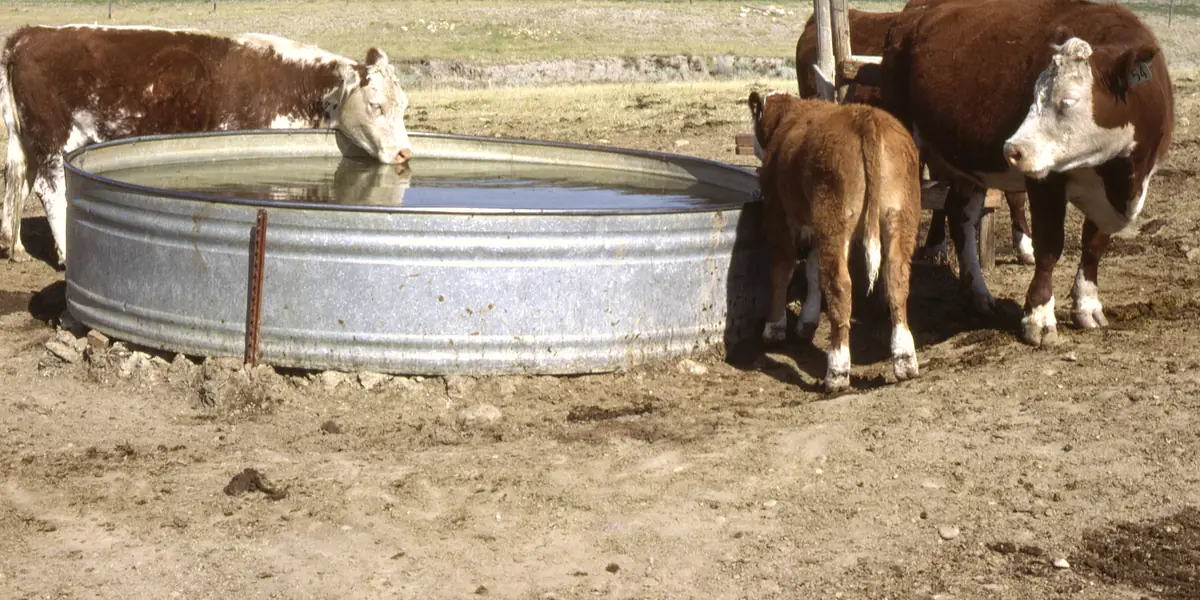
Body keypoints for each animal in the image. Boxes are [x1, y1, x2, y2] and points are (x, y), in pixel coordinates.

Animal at [1, 25, 415, 266]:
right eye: (376, 105)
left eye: (404, 104)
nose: (405, 152)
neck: (294, 85)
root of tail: (30, 34)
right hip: (53, 136)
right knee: (51, 190)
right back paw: (67, 254)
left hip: (27, 138)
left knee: (16, 181)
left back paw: (14, 246)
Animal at [749, 90, 922, 392]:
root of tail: (866, 118)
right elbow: (813, 271)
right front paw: (806, 322)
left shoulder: (777, 214)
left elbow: (782, 270)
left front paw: (774, 328)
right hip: (900, 218)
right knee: (896, 280)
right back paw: (904, 360)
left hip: (833, 222)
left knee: (840, 286)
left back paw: (837, 371)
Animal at [881, 0, 1174, 345]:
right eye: (1034, 94)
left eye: (1068, 100)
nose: (1012, 149)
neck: (1119, 176)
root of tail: (913, 15)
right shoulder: (1046, 182)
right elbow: (1048, 247)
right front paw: (1039, 318)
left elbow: (1094, 244)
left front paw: (1088, 306)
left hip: (966, 167)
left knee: (960, 215)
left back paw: (977, 294)